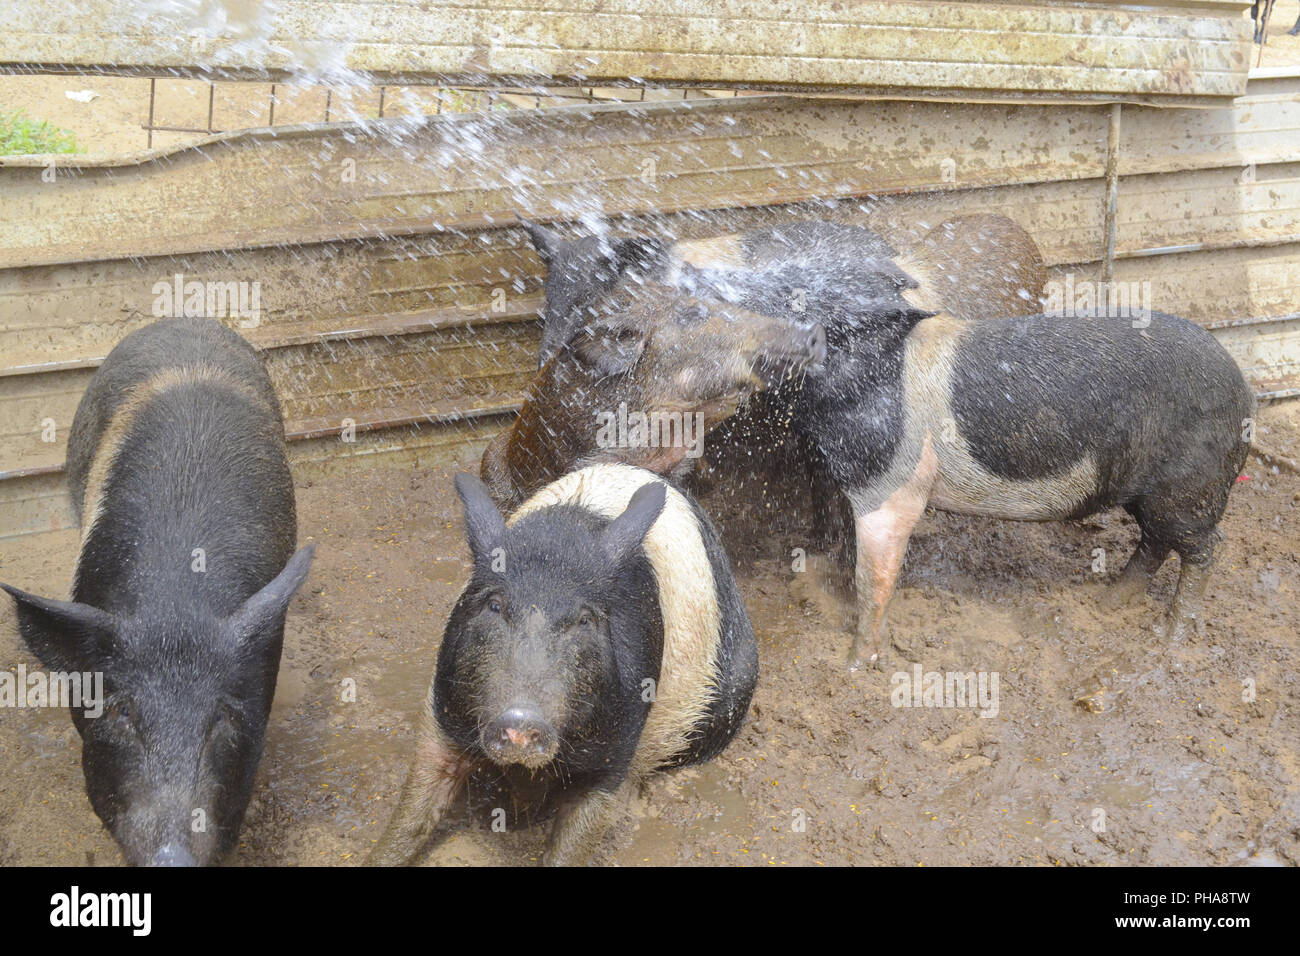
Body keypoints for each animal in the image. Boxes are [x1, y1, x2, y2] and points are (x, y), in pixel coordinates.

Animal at [366, 463, 759, 868]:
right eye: (494, 605)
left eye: (585, 620)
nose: (521, 718)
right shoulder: (442, 713)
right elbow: (413, 811)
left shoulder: (618, 746)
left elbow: (578, 836)